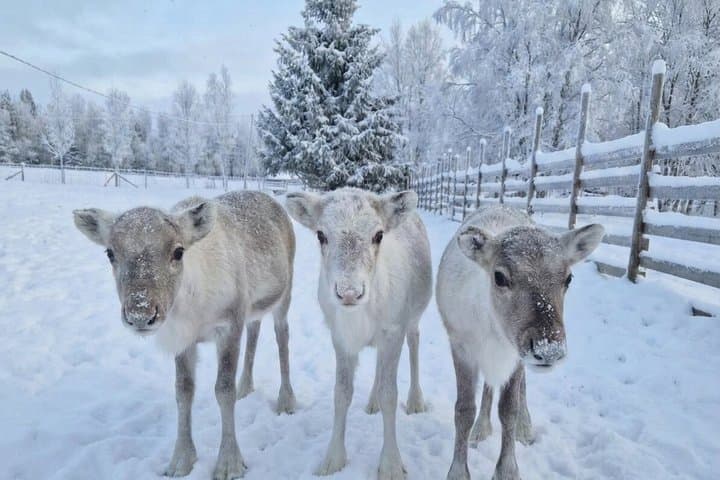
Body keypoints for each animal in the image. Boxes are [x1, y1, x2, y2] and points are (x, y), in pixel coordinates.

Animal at [73, 191, 297, 480]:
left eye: (178, 251)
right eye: (110, 252)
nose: (140, 313)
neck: (193, 310)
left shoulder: (229, 325)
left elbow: (223, 390)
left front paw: (229, 462)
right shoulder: (183, 339)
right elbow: (183, 391)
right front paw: (181, 460)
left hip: (284, 295)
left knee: (282, 338)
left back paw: (286, 400)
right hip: (253, 307)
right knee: (255, 330)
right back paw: (245, 387)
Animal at [285, 188, 432, 480]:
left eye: (379, 234)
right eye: (321, 235)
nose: (350, 292)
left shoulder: (393, 331)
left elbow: (390, 394)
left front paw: (391, 465)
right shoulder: (340, 337)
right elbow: (341, 393)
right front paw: (333, 459)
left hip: (413, 318)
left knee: (415, 343)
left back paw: (415, 400)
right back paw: (372, 402)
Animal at [436, 205, 604, 480]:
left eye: (568, 278)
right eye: (500, 277)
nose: (549, 350)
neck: (493, 330)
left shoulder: (515, 355)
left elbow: (509, 410)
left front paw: (507, 470)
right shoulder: (461, 346)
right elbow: (463, 410)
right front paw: (458, 472)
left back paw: (525, 428)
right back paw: (481, 428)